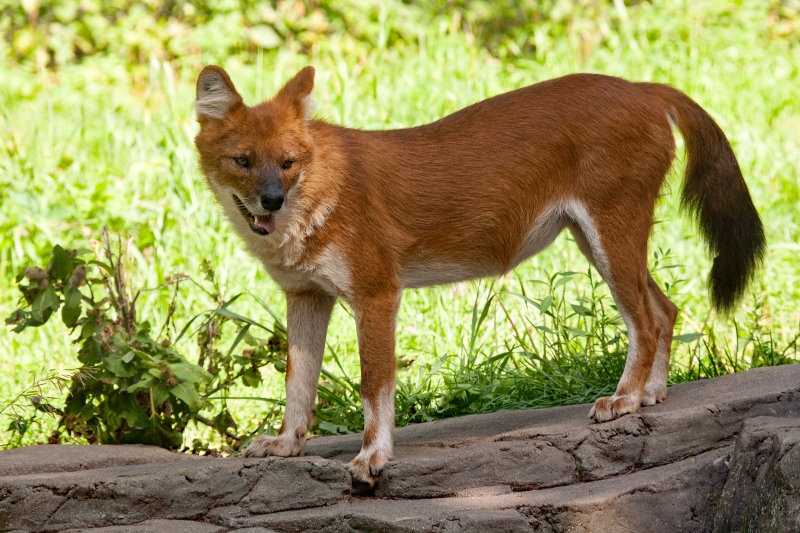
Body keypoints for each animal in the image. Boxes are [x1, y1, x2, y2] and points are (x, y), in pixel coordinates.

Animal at [192, 66, 764, 486]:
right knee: (666, 308)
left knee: (644, 318)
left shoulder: (377, 293)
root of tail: (643, 86)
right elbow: (298, 383)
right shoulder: (307, 296)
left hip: (610, 233)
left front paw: (372, 458)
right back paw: (650, 394)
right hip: (596, 239)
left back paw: (622, 400)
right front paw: (287, 444)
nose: (271, 200)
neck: (311, 201)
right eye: (243, 161)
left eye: (288, 163)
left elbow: (374, 386)